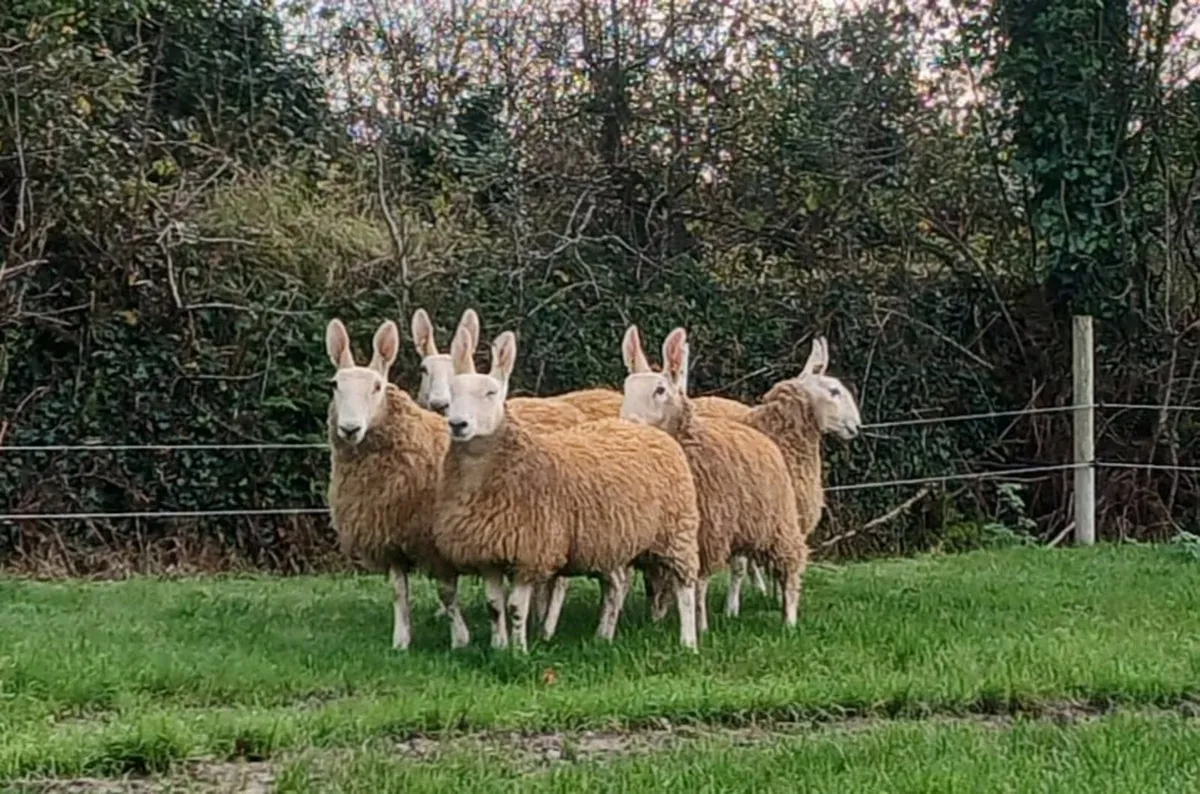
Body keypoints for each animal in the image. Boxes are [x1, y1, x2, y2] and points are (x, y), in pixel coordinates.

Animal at [324, 318, 470, 651]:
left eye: (376, 386)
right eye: (335, 385)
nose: (349, 429)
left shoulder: (435, 541)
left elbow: (447, 592)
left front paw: (460, 639)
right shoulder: (389, 537)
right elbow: (398, 592)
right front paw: (401, 640)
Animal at [432, 325, 702, 653]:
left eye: (491, 392)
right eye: (453, 392)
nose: (458, 424)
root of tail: (644, 430)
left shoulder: (531, 550)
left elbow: (515, 608)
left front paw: (518, 652)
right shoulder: (487, 552)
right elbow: (494, 607)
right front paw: (499, 646)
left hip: (678, 530)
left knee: (685, 585)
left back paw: (688, 641)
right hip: (612, 538)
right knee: (616, 584)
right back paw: (603, 636)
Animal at [620, 325, 807, 632]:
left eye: (660, 390)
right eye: (626, 389)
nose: (628, 424)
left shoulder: (707, 531)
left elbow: (698, 585)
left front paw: (701, 625)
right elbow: (659, 582)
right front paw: (657, 618)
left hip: (778, 520)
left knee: (790, 563)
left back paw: (789, 619)